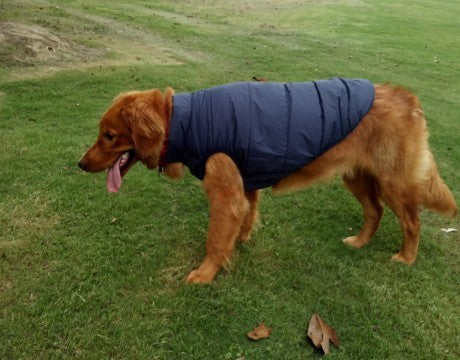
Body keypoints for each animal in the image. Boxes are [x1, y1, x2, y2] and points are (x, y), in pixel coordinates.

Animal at [78, 79, 456, 284]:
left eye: (109, 136)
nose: (80, 164)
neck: (184, 120)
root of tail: (408, 99)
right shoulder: (246, 182)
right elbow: (247, 215)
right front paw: (241, 240)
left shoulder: (225, 191)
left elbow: (215, 238)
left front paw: (206, 272)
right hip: (358, 177)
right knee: (374, 212)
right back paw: (360, 242)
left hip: (393, 183)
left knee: (411, 222)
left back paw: (406, 258)